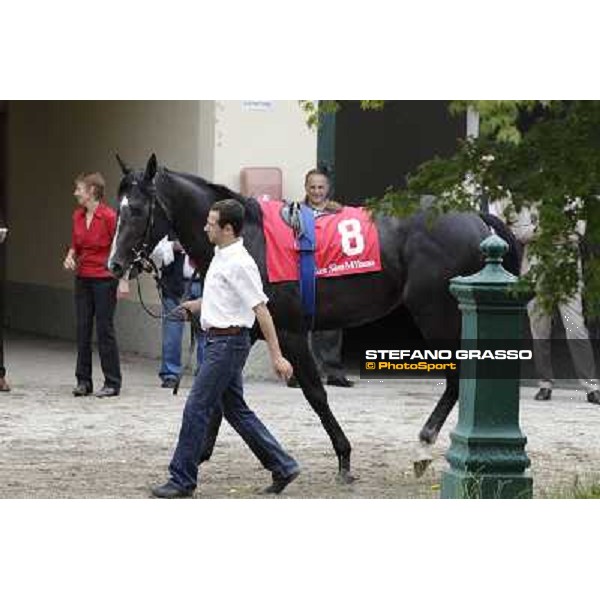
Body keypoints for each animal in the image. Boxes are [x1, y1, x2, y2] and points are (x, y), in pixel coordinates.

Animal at [109, 156, 520, 482]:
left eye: (137, 210)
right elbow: (221, 395)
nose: (114, 264)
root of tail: (476, 218)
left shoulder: (290, 331)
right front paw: (199, 455)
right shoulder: (248, 330)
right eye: (118, 208)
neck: (248, 240)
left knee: (456, 378)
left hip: (437, 314)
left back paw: (424, 446)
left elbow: (315, 393)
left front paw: (344, 457)